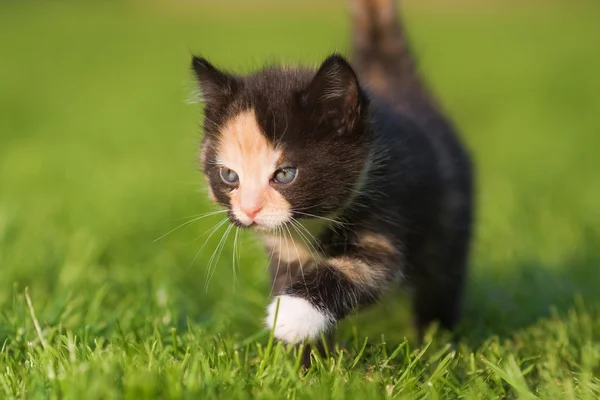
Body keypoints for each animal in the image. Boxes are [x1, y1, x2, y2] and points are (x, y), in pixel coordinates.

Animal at [192, 0, 474, 346]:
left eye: (285, 175)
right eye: (229, 176)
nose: (249, 209)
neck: (313, 225)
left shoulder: (388, 215)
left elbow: (360, 269)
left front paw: (290, 314)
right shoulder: (286, 253)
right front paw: (306, 355)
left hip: (449, 220)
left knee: (442, 281)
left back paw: (438, 341)